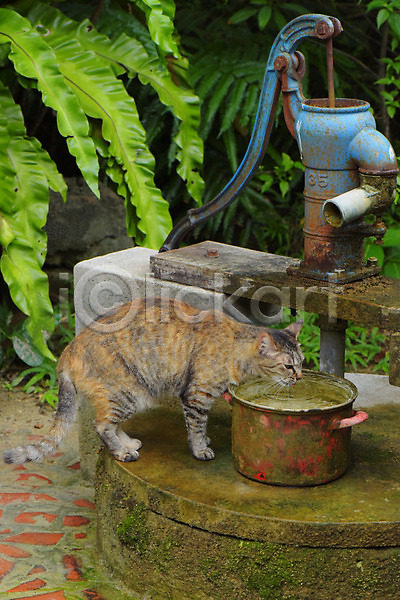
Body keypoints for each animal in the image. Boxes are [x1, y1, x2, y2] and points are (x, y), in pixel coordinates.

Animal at [2, 296, 304, 464]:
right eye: (288, 366)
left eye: (301, 362)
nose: (300, 377)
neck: (234, 347)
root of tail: (67, 351)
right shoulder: (196, 395)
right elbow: (197, 427)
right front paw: (200, 450)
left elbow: (200, 428)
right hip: (127, 393)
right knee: (101, 425)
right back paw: (122, 452)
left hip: (134, 395)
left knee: (111, 423)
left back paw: (128, 444)